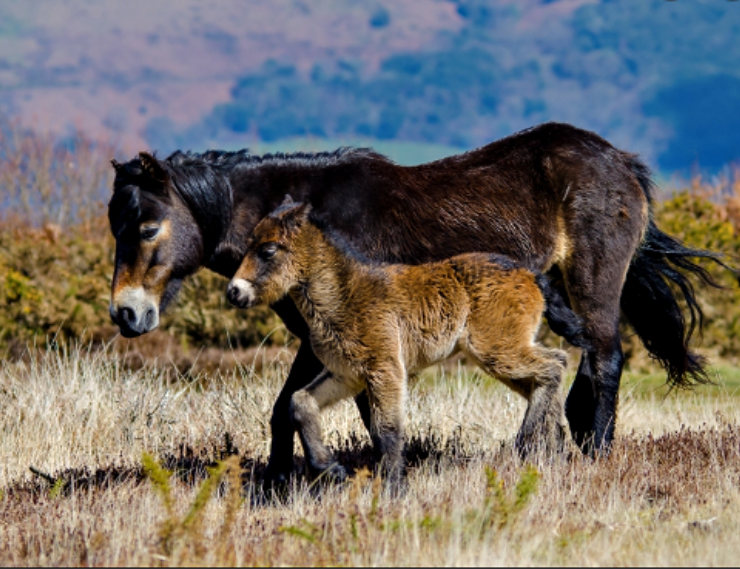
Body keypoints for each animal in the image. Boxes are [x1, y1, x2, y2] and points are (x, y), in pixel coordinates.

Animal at [226, 197, 590, 483]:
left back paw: (526, 441)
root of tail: (530, 274)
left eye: (268, 250)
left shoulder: (385, 369)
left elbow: (386, 431)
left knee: (554, 365)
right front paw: (330, 468)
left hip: (497, 350)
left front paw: (393, 488)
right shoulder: (348, 374)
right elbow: (301, 402)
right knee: (544, 378)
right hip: (501, 356)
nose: (234, 292)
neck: (346, 294)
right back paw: (551, 452)